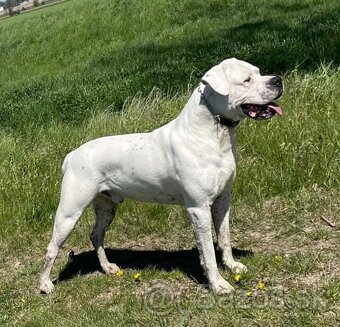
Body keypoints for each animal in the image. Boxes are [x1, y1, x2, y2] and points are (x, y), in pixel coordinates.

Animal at [39, 58, 282, 294]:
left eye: (259, 72)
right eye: (247, 79)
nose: (278, 80)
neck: (212, 134)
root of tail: (72, 155)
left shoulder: (223, 200)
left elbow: (224, 237)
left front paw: (232, 266)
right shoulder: (198, 208)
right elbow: (208, 252)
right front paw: (218, 284)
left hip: (107, 205)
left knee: (96, 235)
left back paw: (108, 267)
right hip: (70, 211)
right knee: (52, 247)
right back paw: (44, 284)